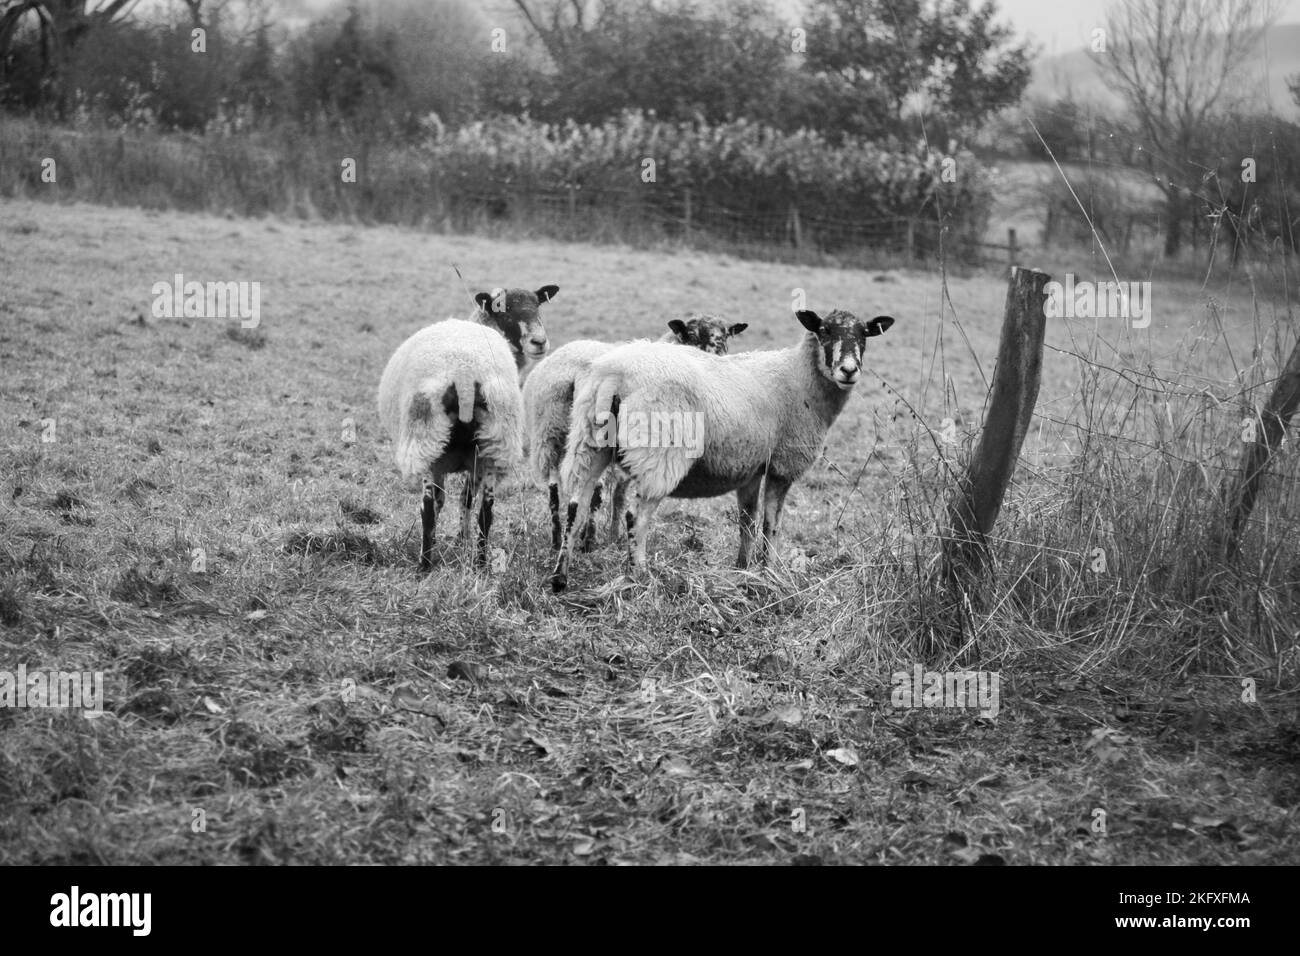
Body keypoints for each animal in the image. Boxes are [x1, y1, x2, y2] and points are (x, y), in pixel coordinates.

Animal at [378, 285, 559, 569]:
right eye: (504, 309)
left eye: (537, 305)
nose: (539, 342)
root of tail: (464, 374)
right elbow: (464, 500)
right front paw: (461, 541)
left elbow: (448, 500)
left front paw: (457, 540)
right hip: (494, 443)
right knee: (486, 511)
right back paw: (481, 564)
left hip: (427, 440)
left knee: (429, 508)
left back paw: (425, 565)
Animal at [522, 314, 747, 551]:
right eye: (692, 335)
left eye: (726, 336)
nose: (713, 358)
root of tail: (574, 372)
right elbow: (619, 494)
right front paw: (614, 535)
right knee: (593, 491)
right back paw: (588, 540)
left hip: (548, 433)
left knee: (555, 487)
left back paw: (557, 540)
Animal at [549, 308, 894, 591]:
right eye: (824, 330)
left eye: (864, 334)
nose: (848, 370)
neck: (801, 379)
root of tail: (615, 376)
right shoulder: (782, 466)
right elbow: (771, 526)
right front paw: (769, 574)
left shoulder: (751, 469)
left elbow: (747, 523)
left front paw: (743, 570)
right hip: (658, 452)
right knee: (636, 515)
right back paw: (639, 576)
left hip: (589, 441)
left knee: (576, 507)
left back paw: (560, 577)